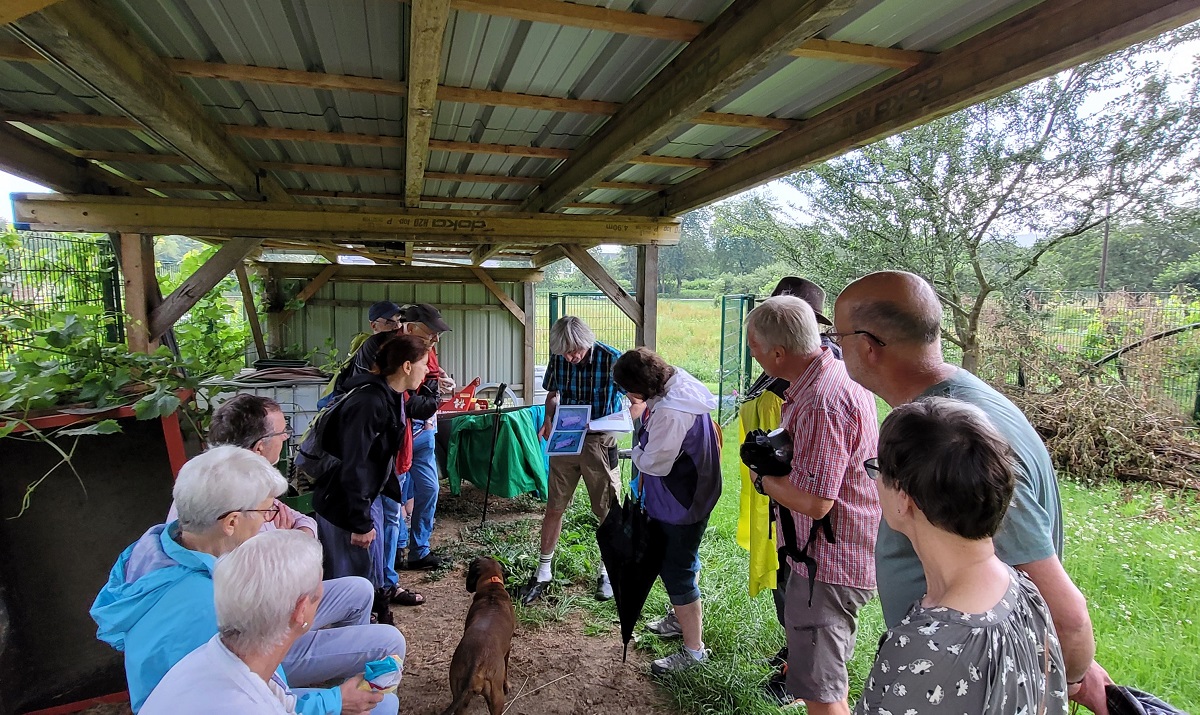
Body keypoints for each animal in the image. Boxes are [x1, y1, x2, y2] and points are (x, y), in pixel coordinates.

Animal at [441, 559, 516, 715]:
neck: (492, 587)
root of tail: (476, 661)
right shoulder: (508, 648)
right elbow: (506, 671)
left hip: (461, 698)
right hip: (496, 698)